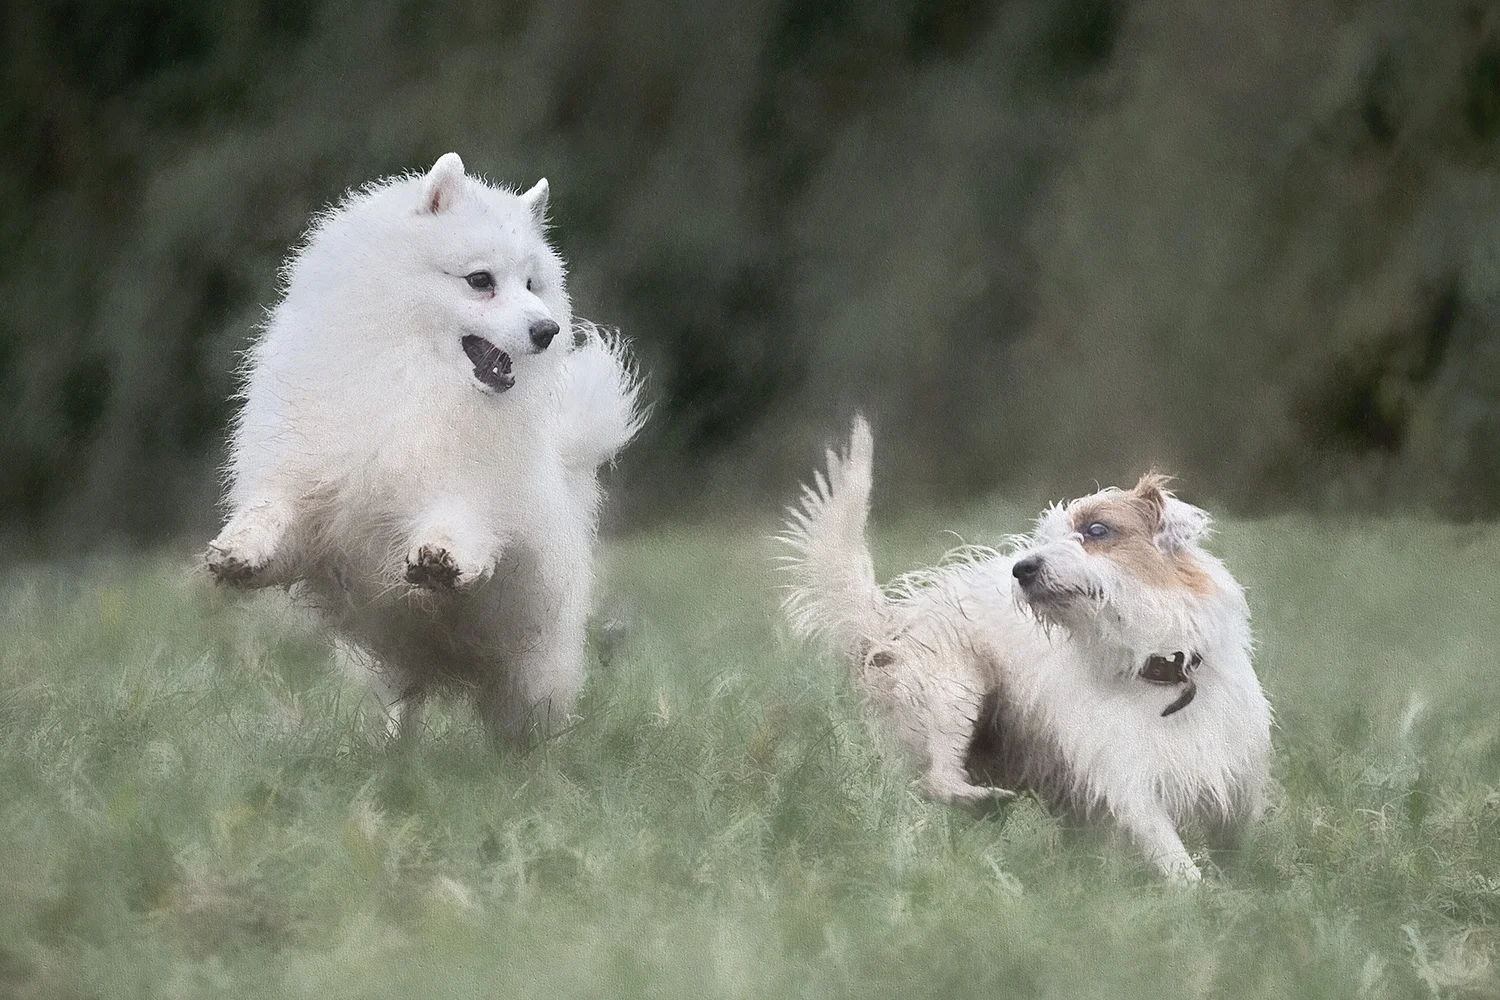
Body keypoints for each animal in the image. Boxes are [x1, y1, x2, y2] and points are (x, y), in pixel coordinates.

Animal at [205, 152, 644, 746]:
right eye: (481, 281)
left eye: (532, 284)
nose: (547, 329)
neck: (415, 378)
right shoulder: (312, 492)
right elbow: (273, 512)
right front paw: (241, 551)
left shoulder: (476, 499)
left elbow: (459, 521)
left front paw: (441, 557)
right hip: (396, 661)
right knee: (405, 703)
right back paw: (395, 751)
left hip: (530, 665)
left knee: (527, 720)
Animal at [778, 417, 1271, 881]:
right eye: (1044, 539)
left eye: (1096, 529)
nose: (1023, 568)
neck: (1157, 669)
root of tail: (893, 621)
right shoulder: (1129, 784)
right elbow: (1176, 862)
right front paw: (1199, 898)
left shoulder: (1236, 785)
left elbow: (1235, 852)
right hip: (953, 697)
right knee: (938, 780)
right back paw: (980, 802)